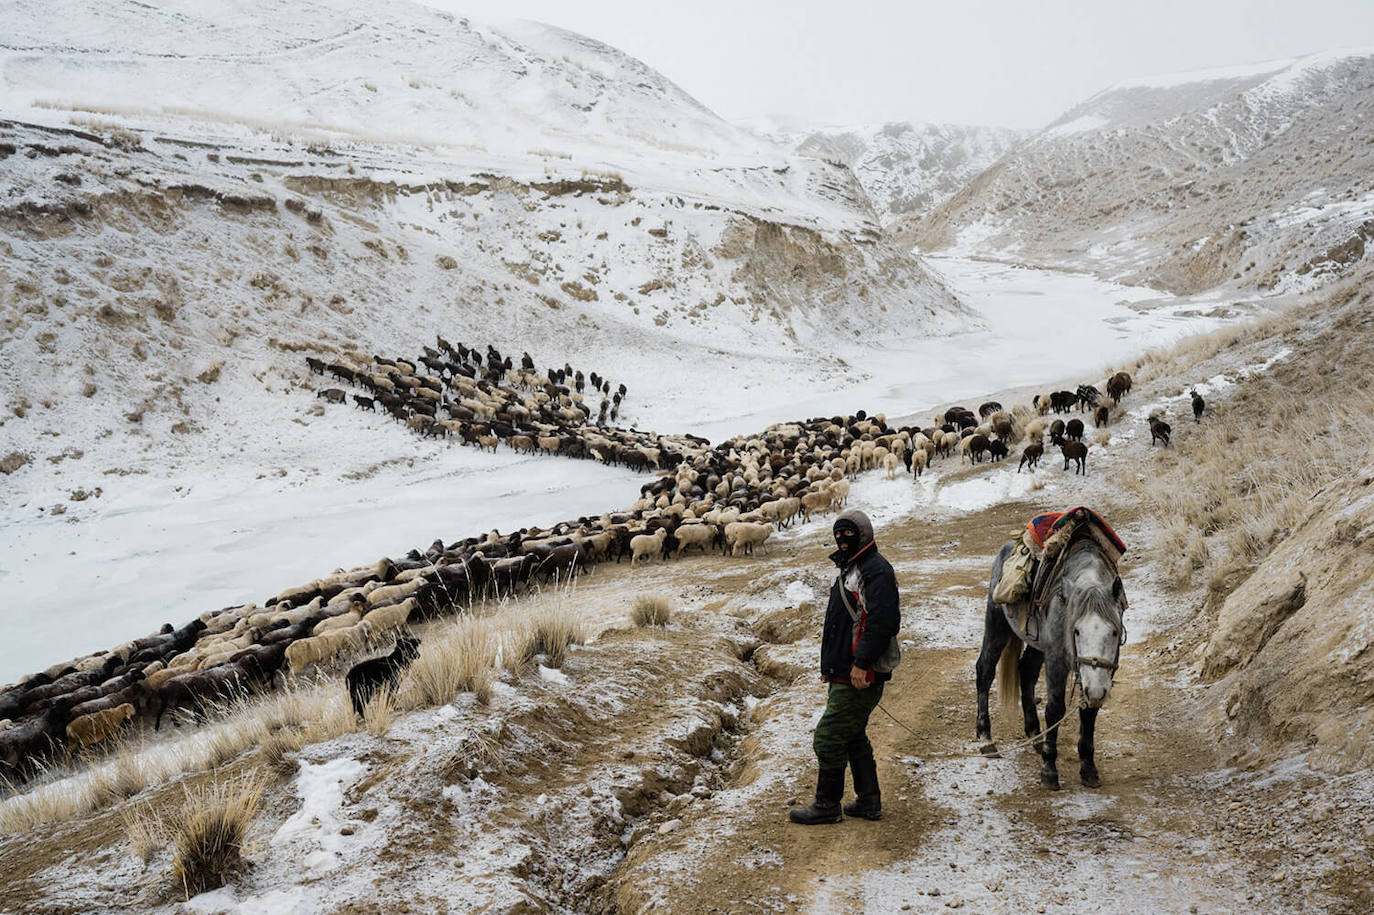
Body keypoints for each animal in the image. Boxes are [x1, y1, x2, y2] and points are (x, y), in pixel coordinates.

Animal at [972, 538, 1121, 785]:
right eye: (1077, 631)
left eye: (1114, 632)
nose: (1096, 690)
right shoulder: (1056, 660)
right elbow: (1055, 710)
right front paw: (1049, 770)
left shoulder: (1099, 674)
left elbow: (1088, 712)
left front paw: (1089, 769)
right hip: (997, 624)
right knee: (985, 671)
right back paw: (986, 739)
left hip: (1036, 645)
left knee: (1026, 672)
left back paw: (1035, 735)